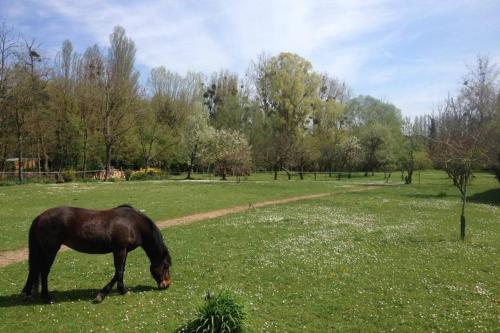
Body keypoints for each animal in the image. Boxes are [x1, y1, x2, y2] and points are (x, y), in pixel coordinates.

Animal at [21, 204, 172, 302]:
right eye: (166, 266)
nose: (167, 284)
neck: (133, 224)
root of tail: (40, 217)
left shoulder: (123, 251)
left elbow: (120, 271)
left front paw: (120, 290)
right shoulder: (119, 250)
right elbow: (118, 272)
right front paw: (104, 294)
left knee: (35, 269)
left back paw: (27, 293)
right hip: (50, 250)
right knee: (43, 270)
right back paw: (46, 296)